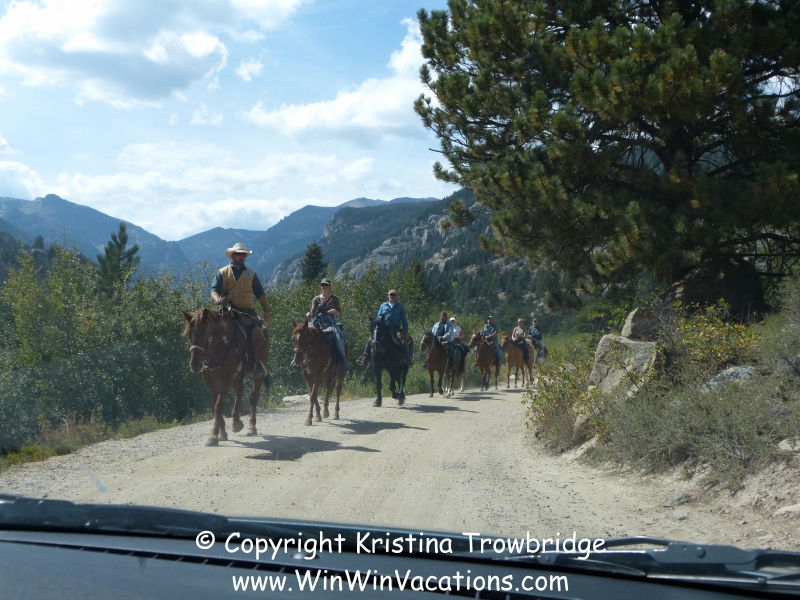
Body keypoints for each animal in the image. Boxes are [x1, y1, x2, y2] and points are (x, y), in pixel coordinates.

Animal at [181, 307, 271, 447]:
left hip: (255, 372)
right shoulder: (210, 378)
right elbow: (216, 402)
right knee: (240, 391)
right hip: (236, 376)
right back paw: (236, 423)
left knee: (254, 396)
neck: (220, 343)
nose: (195, 365)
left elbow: (219, 405)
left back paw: (251, 426)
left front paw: (213, 436)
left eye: (206, 334)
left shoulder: (227, 375)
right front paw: (222, 432)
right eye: (188, 335)